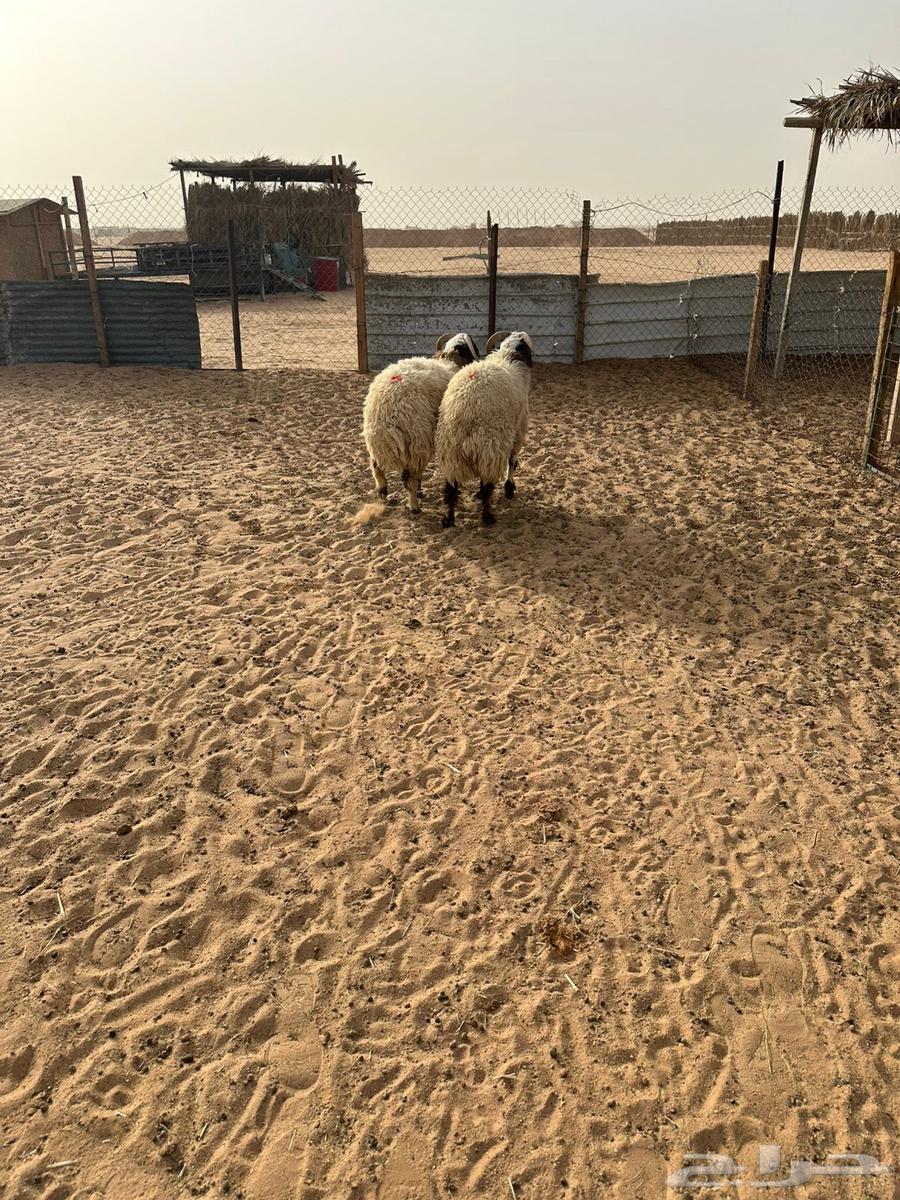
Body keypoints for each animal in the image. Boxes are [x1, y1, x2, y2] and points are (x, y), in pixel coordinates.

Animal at [362, 333, 479, 512]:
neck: (450, 362)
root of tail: (388, 414)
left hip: (378, 446)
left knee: (377, 469)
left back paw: (382, 493)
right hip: (417, 442)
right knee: (410, 478)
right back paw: (414, 505)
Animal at [435, 330, 533, 527]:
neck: (509, 356)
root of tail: (465, 410)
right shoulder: (518, 430)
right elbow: (513, 461)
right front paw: (509, 489)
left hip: (451, 454)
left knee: (450, 488)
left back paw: (449, 518)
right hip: (490, 449)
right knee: (488, 485)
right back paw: (488, 517)